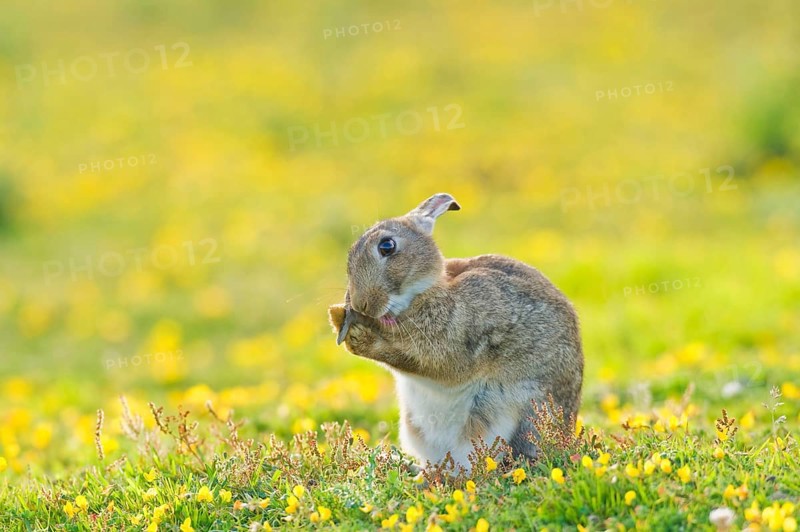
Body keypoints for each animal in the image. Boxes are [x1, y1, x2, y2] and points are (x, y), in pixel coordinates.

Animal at [328, 193, 583, 469]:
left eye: (387, 246)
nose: (360, 304)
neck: (422, 292)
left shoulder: (453, 344)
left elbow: (420, 361)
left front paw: (358, 336)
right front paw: (339, 318)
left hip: (505, 418)